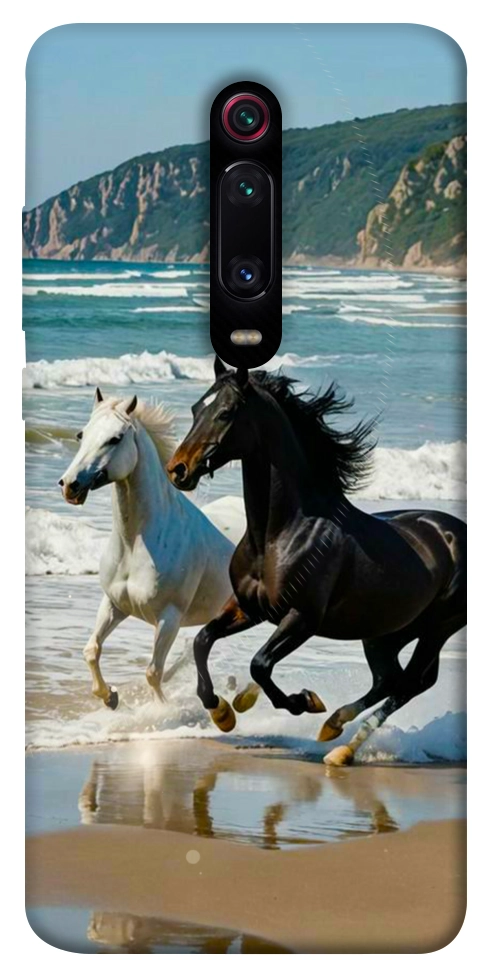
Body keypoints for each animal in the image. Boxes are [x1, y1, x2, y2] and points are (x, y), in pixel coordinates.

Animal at [59, 387, 234, 709]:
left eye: (115, 438)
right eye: (81, 434)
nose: (69, 485)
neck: (135, 544)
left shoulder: (169, 618)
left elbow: (153, 672)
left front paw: (161, 711)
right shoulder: (114, 604)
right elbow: (91, 650)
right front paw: (110, 697)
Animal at [166, 357, 466, 765]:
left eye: (226, 412)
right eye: (197, 408)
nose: (178, 469)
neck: (280, 534)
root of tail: (455, 532)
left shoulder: (302, 618)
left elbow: (260, 664)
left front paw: (303, 701)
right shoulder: (249, 608)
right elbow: (202, 640)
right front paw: (223, 712)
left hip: (437, 628)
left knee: (410, 683)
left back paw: (340, 746)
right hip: (386, 632)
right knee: (390, 679)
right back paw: (334, 728)